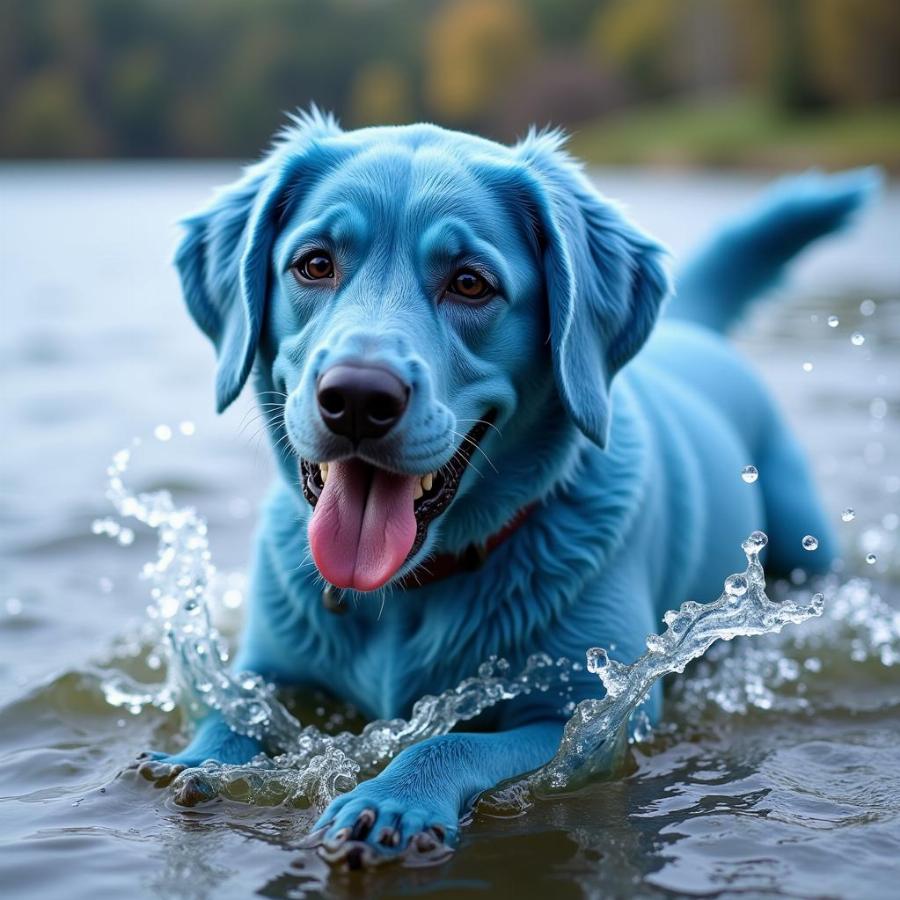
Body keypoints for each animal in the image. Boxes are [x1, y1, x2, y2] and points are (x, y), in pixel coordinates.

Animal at [139, 110, 872, 864]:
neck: (408, 593)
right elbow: (233, 712)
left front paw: (390, 801)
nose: (359, 397)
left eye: (470, 283)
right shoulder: (267, 670)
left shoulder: (595, 718)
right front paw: (198, 759)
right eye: (314, 263)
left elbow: (450, 742)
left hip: (804, 538)